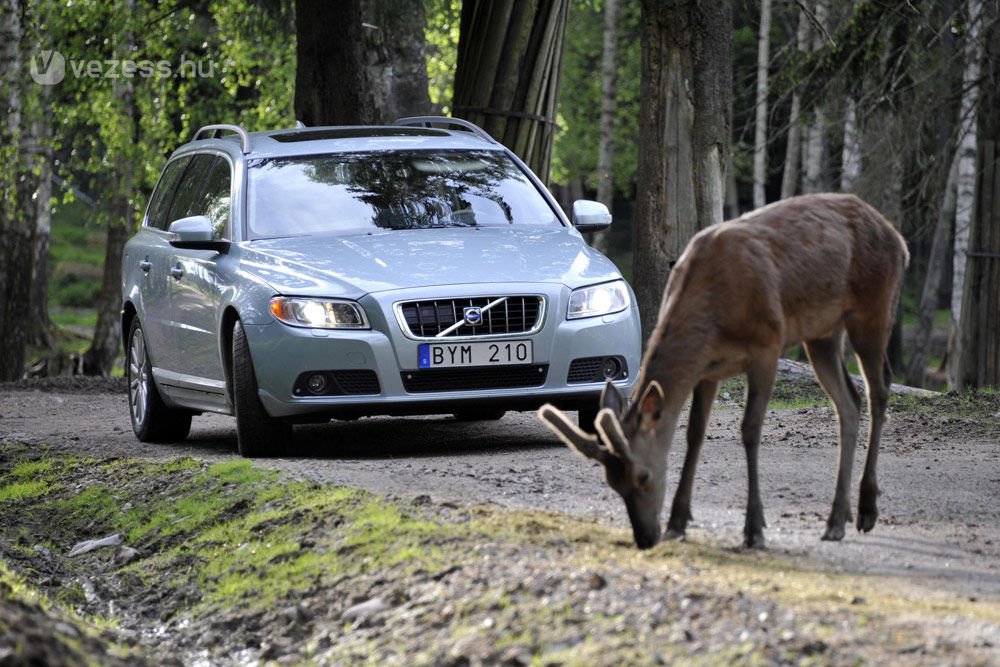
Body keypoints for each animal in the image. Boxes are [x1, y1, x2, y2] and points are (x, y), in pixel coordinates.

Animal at [544, 192, 912, 548]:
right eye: (612, 482)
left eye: (643, 475)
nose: (646, 538)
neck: (715, 314)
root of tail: (899, 240)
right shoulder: (708, 367)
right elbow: (694, 433)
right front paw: (678, 523)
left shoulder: (768, 344)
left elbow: (749, 429)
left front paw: (754, 529)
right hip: (821, 333)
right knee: (848, 403)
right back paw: (837, 519)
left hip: (874, 306)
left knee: (878, 392)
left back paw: (866, 510)